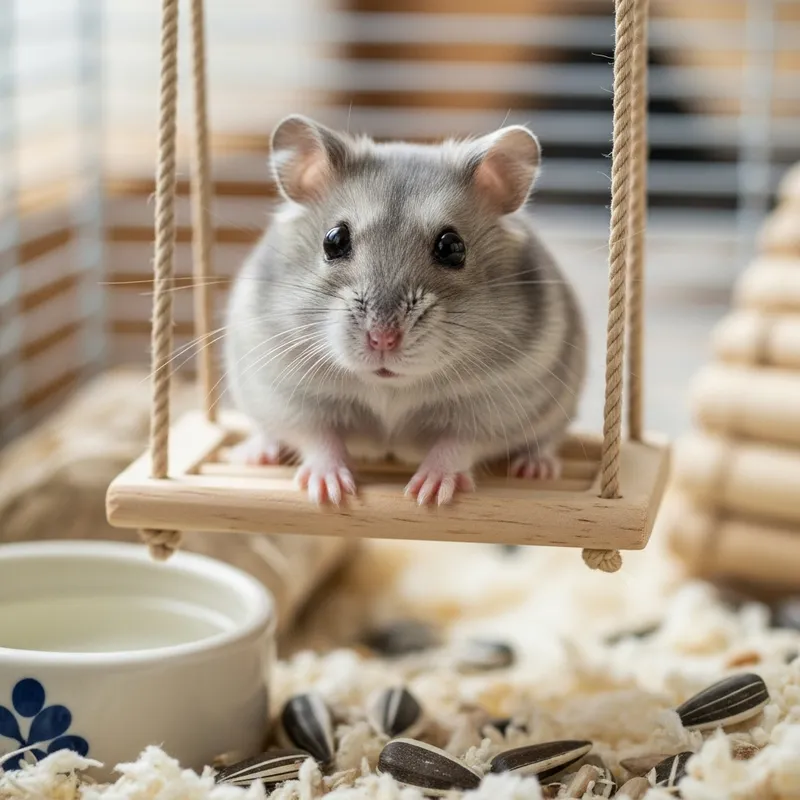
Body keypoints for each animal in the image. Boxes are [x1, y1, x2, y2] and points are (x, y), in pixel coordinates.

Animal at [224, 115, 587, 506]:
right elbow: (318, 438)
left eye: (452, 247)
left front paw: (427, 493)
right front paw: (330, 492)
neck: (390, 389)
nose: (383, 339)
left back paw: (536, 468)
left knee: (545, 440)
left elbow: (458, 444)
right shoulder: (289, 394)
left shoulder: (497, 405)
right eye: (334, 240)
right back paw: (254, 454)